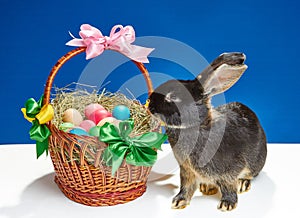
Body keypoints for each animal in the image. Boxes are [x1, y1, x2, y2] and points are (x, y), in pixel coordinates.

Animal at [148, 51, 268, 211]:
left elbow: (229, 186)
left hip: (255, 162)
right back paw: (206, 186)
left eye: (173, 96)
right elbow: (186, 186)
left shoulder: (228, 171)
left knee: (250, 175)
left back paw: (242, 183)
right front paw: (179, 201)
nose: (150, 106)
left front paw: (227, 204)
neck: (196, 125)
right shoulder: (187, 171)